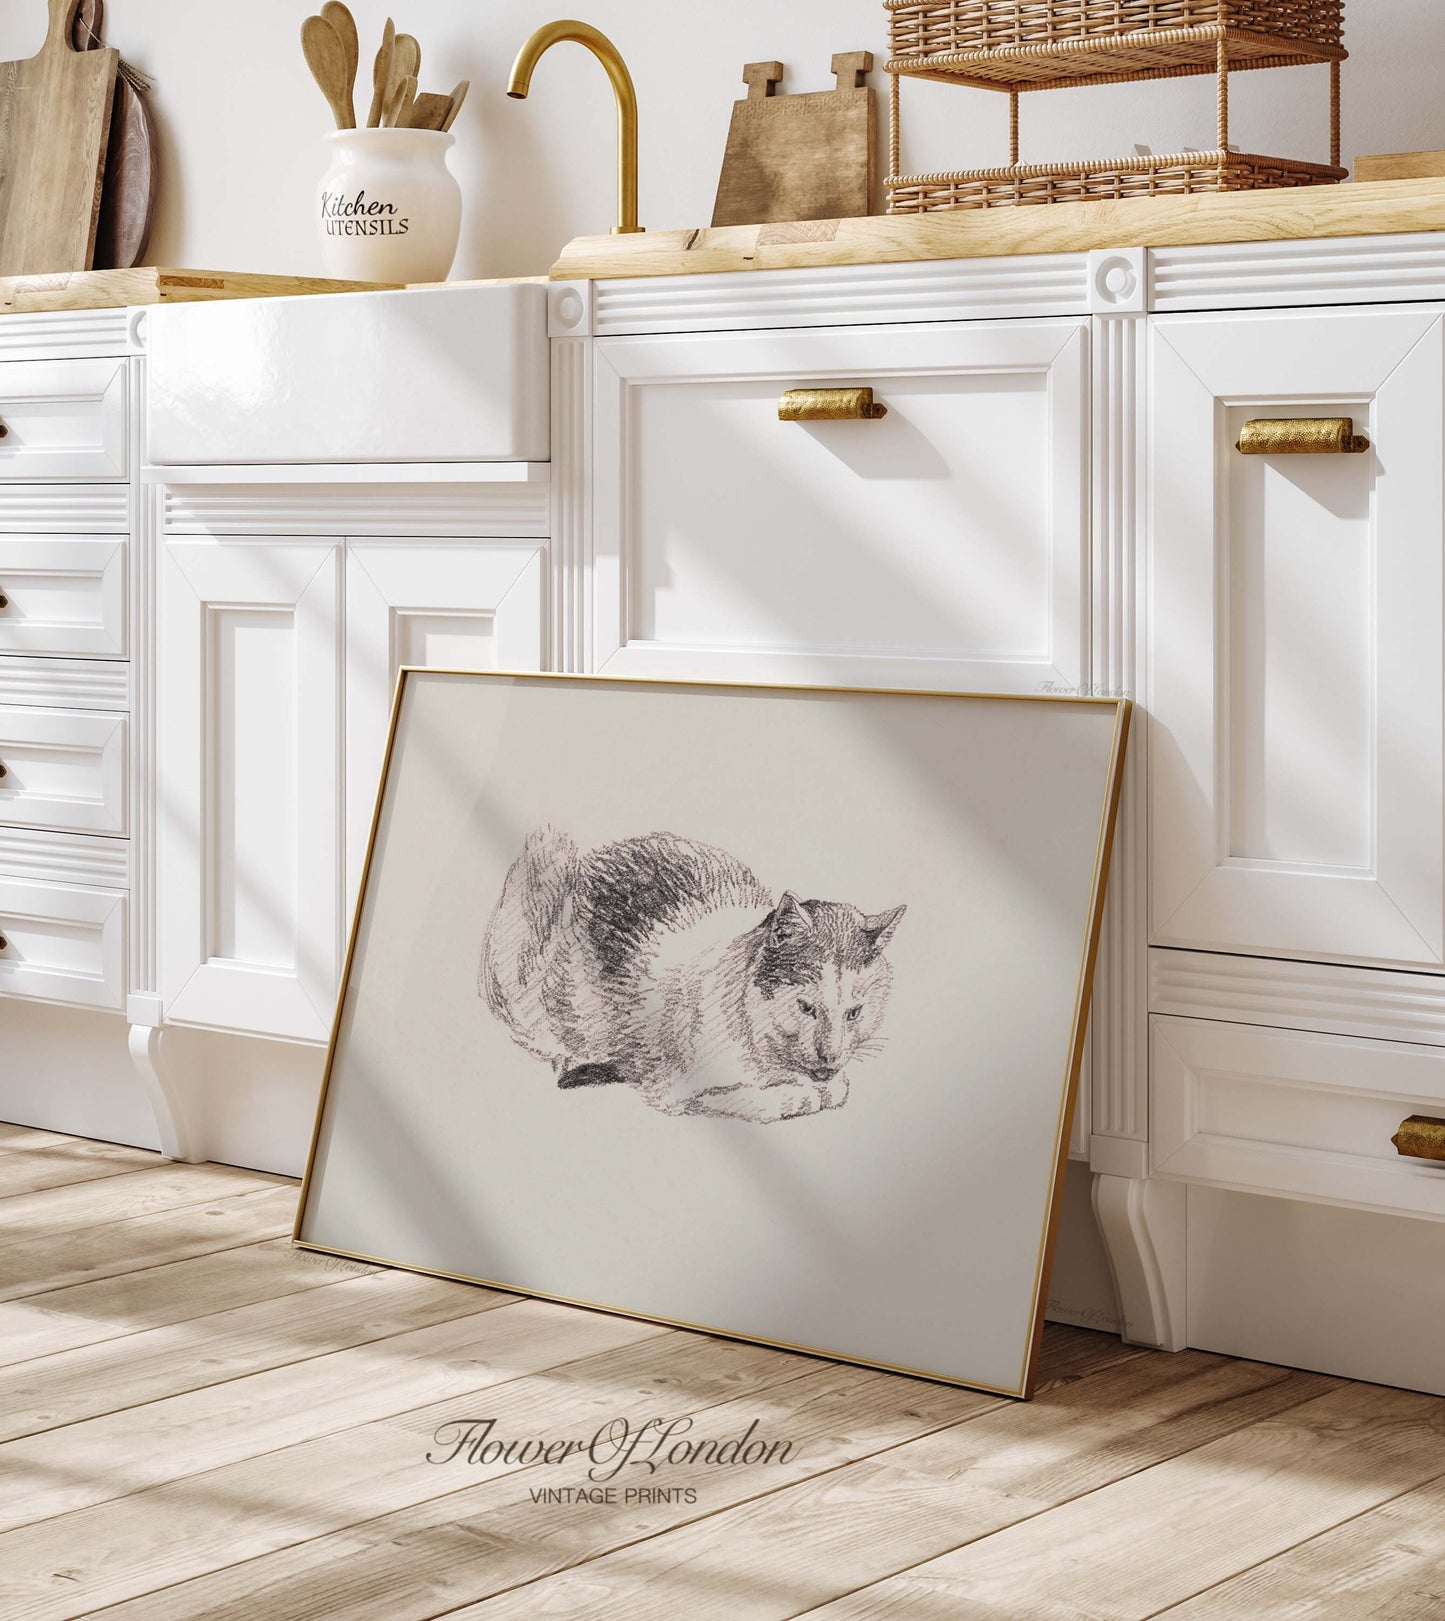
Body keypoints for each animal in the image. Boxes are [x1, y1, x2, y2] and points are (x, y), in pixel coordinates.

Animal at [483, 829, 901, 1121]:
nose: (830, 1054)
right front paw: (797, 1095)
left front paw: (822, 1086)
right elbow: (766, 1101)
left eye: (854, 1013)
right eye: (806, 1008)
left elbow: (837, 1087)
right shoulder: (677, 1090)